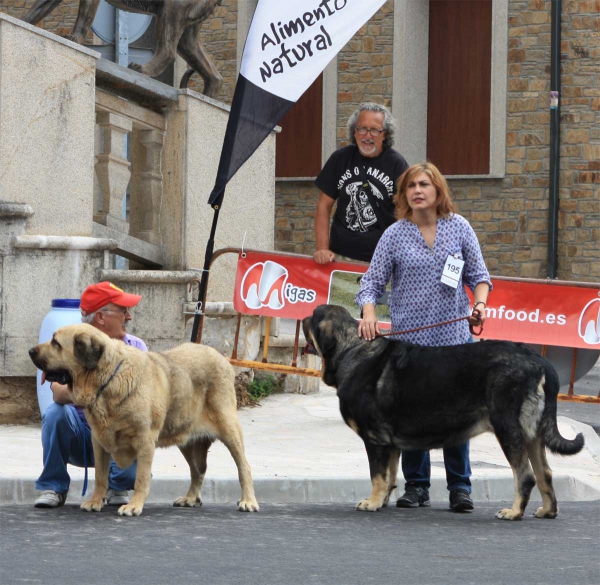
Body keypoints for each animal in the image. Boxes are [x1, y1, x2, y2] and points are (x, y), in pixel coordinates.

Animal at [302, 304, 584, 516]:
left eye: (313, 317)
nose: (303, 317)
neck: (350, 349)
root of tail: (539, 362)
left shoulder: (375, 440)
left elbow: (377, 476)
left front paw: (371, 503)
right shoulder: (390, 444)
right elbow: (390, 476)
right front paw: (382, 501)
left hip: (508, 428)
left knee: (525, 476)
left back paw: (513, 512)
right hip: (533, 433)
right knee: (545, 473)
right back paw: (548, 511)